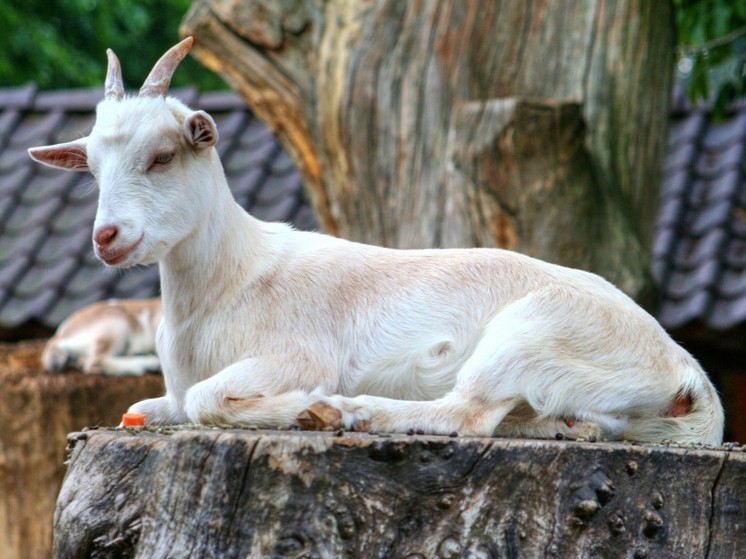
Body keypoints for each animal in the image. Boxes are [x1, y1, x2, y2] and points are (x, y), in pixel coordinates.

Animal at [29, 37, 720, 444]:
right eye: (91, 169)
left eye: (163, 156)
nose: (107, 237)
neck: (233, 280)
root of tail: (687, 372)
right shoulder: (168, 391)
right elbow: (142, 409)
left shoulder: (295, 352)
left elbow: (207, 398)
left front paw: (299, 404)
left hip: (532, 333)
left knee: (466, 414)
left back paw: (342, 411)